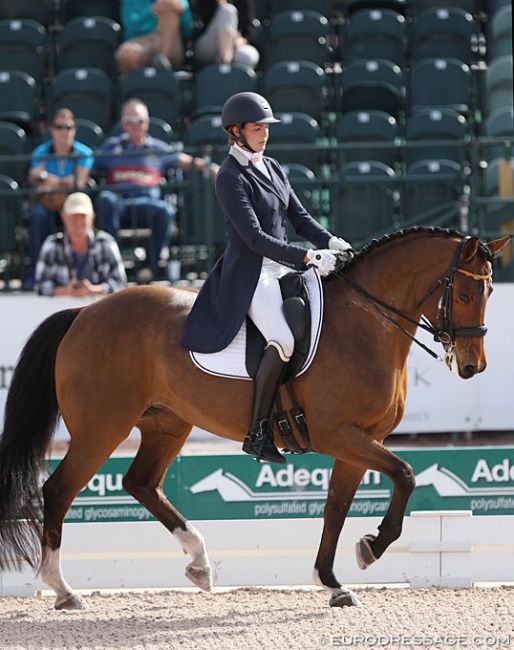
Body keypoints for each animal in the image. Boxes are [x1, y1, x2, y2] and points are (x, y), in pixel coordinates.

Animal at [0, 225, 508, 604]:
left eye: (489, 291)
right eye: (465, 294)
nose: (473, 366)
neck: (366, 325)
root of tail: (84, 312)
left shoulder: (360, 440)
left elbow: (336, 507)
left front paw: (332, 582)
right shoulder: (340, 435)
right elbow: (405, 474)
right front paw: (372, 547)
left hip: (166, 423)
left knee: (140, 483)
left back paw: (200, 564)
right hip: (101, 428)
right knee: (58, 490)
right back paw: (63, 589)